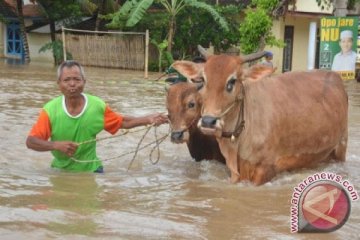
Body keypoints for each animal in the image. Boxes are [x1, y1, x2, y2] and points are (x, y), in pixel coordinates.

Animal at [172, 54, 348, 186]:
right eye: (203, 80)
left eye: (232, 81)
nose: (208, 122)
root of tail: (335, 75)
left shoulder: (265, 170)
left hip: (341, 147)